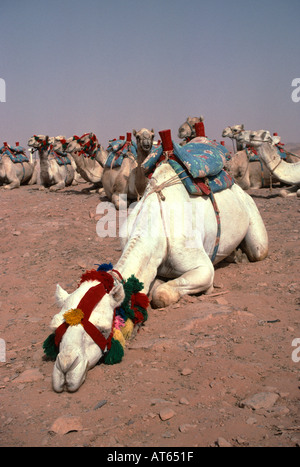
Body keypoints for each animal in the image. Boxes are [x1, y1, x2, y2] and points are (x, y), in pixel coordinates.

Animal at [48, 128, 268, 392]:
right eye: (57, 325)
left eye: (102, 327)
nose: (65, 368)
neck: (156, 227)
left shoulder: (202, 266)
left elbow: (161, 294)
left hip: (253, 219)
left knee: (258, 250)